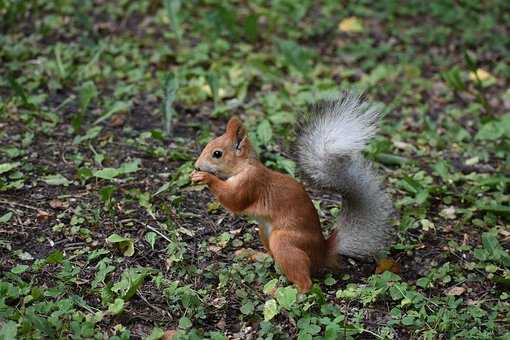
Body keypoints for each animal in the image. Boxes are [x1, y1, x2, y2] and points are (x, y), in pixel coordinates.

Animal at [189, 92, 392, 292]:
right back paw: (256, 255)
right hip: (264, 233)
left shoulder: (251, 183)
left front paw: (205, 177)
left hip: (284, 242)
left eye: (217, 154)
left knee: (305, 282)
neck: (244, 166)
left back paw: (288, 293)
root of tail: (322, 252)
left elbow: (234, 201)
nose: (197, 165)